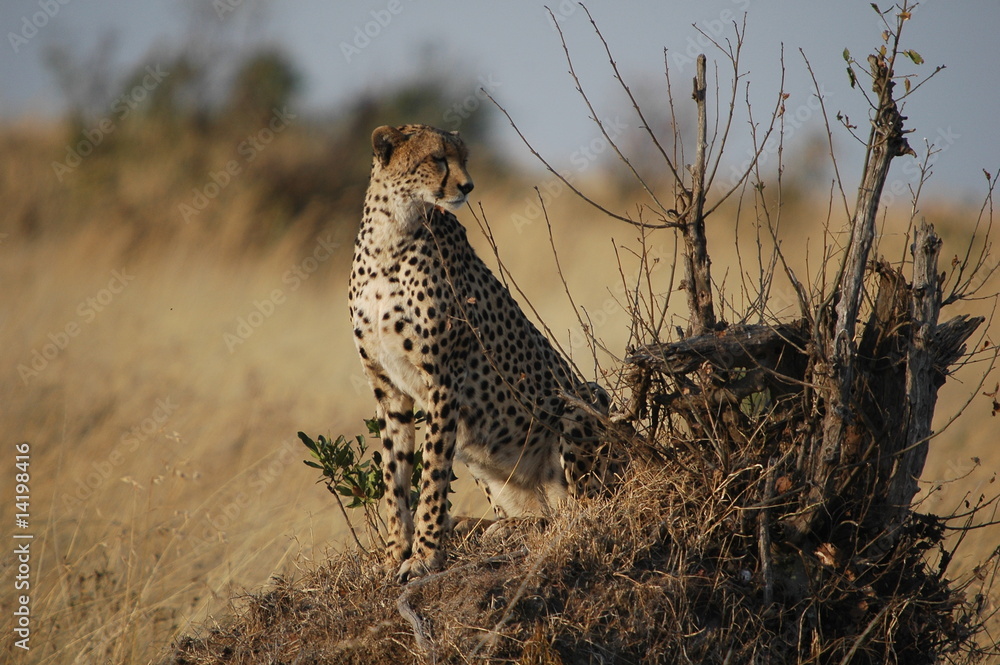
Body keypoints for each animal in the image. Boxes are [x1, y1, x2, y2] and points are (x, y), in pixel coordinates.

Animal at [348, 124, 614, 583]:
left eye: (464, 158)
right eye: (437, 158)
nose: (467, 186)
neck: (391, 235)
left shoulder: (443, 382)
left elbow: (433, 474)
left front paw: (425, 555)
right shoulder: (387, 388)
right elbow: (394, 476)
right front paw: (395, 552)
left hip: (585, 401)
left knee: (578, 510)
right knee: (543, 513)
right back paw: (487, 526)